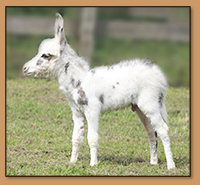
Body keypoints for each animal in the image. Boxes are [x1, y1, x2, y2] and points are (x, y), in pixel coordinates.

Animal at [22, 12, 175, 169]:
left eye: (45, 55)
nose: (24, 68)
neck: (80, 80)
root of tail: (158, 74)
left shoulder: (92, 111)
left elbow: (92, 138)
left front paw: (93, 164)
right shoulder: (77, 112)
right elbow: (76, 138)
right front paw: (72, 162)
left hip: (150, 104)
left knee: (162, 129)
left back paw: (171, 166)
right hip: (139, 107)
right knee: (151, 132)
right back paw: (153, 162)